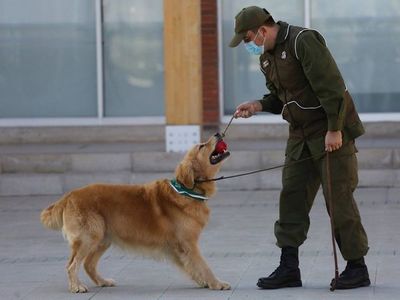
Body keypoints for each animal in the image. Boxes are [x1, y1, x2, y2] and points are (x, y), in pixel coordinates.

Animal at [40, 134, 231, 292]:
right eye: (201, 146)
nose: (218, 133)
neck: (188, 190)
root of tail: (69, 195)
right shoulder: (188, 243)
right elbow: (203, 265)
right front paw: (216, 283)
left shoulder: (181, 248)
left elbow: (194, 266)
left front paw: (204, 282)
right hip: (89, 237)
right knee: (72, 265)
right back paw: (76, 287)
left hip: (102, 238)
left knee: (88, 264)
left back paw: (103, 281)